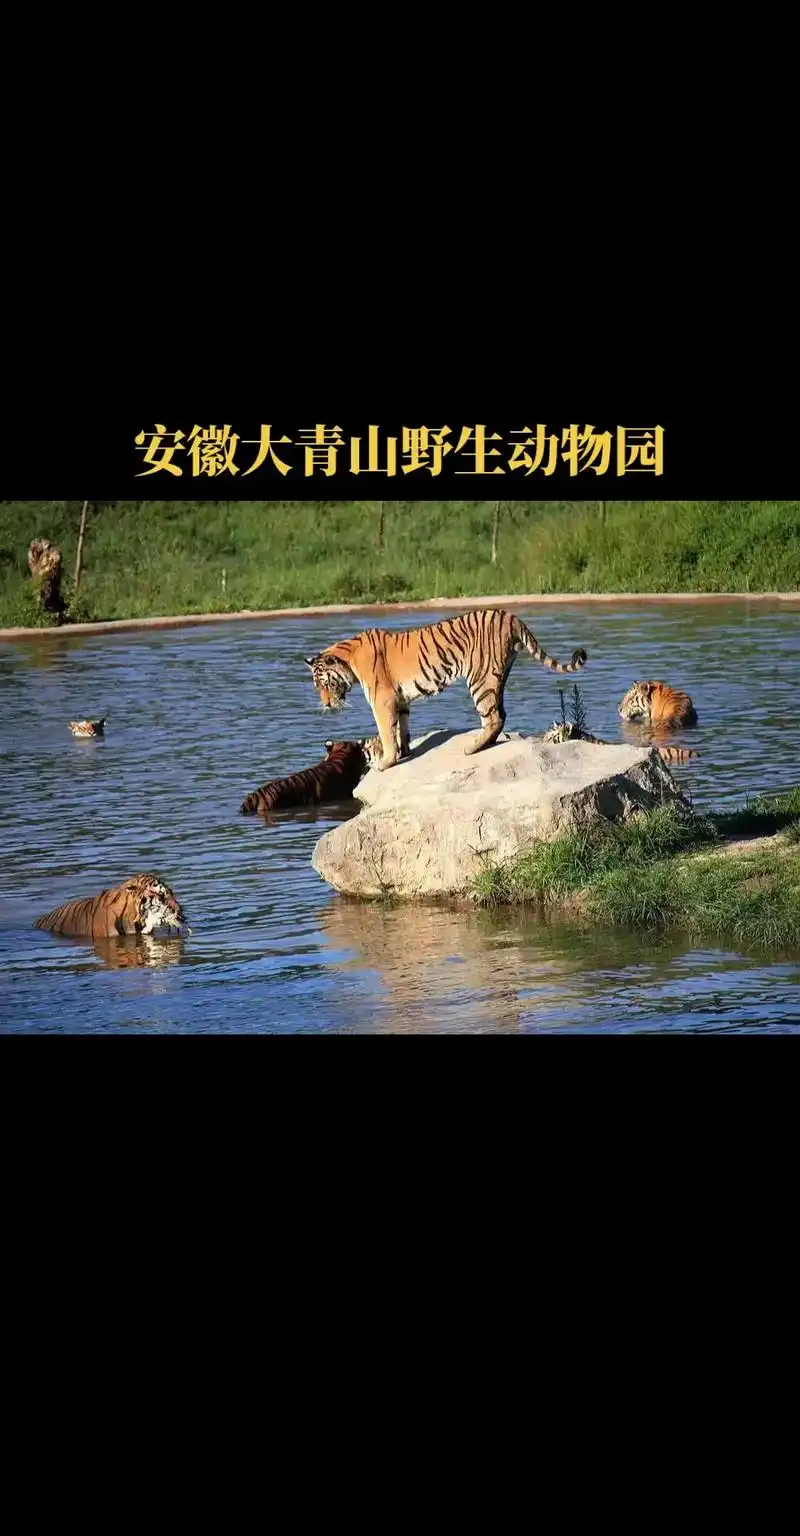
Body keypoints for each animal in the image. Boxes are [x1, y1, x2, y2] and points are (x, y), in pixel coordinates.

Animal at [304, 609, 588, 770]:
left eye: (326, 684)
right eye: (317, 687)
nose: (326, 704)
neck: (350, 661)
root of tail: (510, 616)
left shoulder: (382, 701)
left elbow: (386, 732)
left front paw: (386, 763)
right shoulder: (400, 700)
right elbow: (403, 728)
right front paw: (405, 752)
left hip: (480, 678)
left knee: (493, 717)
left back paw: (472, 748)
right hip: (499, 675)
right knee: (501, 714)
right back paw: (485, 744)